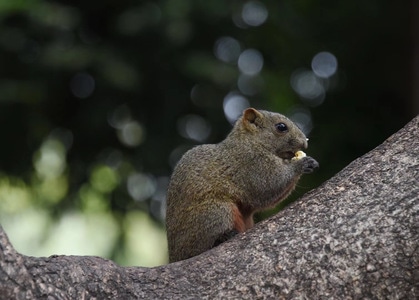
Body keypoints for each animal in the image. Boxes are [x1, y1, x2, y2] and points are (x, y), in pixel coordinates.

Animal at [166, 108, 320, 262]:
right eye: (281, 127)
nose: (304, 144)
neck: (249, 141)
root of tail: (175, 256)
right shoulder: (252, 164)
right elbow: (271, 183)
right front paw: (302, 164)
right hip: (215, 212)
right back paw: (225, 236)